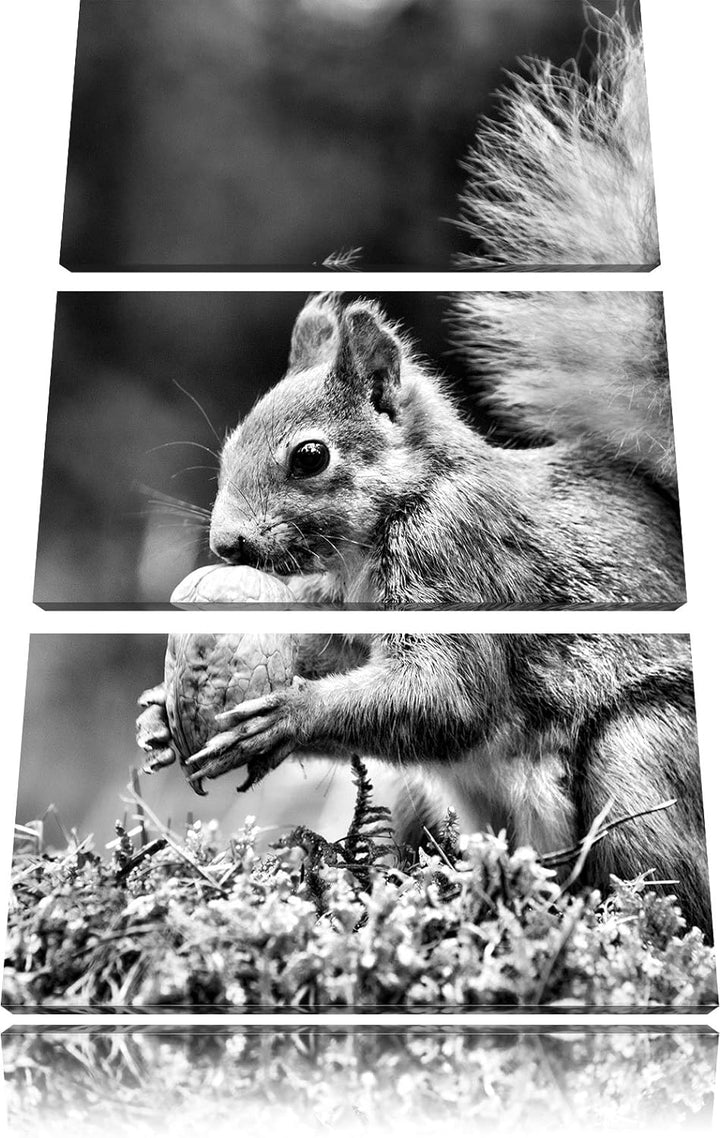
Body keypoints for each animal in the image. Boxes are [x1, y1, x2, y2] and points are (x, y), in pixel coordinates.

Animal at [137, 13, 711, 937]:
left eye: (310, 457)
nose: (226, 544)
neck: (400, 509)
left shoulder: (463, 563)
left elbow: (446, 695)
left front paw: (287, 717)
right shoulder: (342, 608)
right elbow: (332, 650)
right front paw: (158, 714)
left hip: (642, 757)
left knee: (666, 880)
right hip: (425, 800)